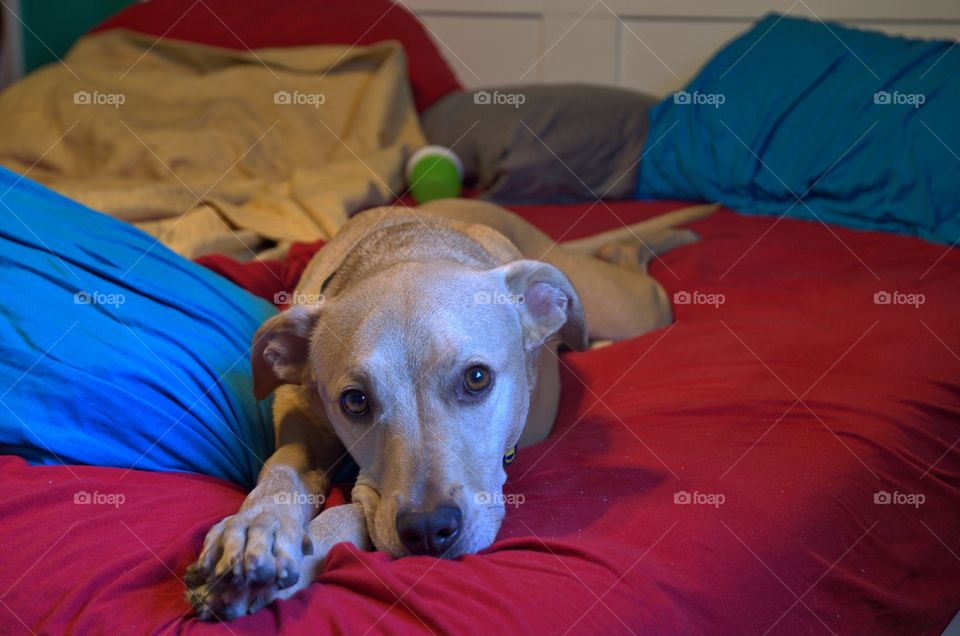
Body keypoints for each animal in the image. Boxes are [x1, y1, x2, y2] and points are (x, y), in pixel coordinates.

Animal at [188, 198, 712, 616]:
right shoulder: (303, 429)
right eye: (355, 401)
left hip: (626, 309)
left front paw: (303, 548)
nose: (428, 531)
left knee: (631, 267)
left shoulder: (372, 500)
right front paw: (256, 529)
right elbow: (280, 470)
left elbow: (353, 511)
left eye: (477, 378)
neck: (408, 247)